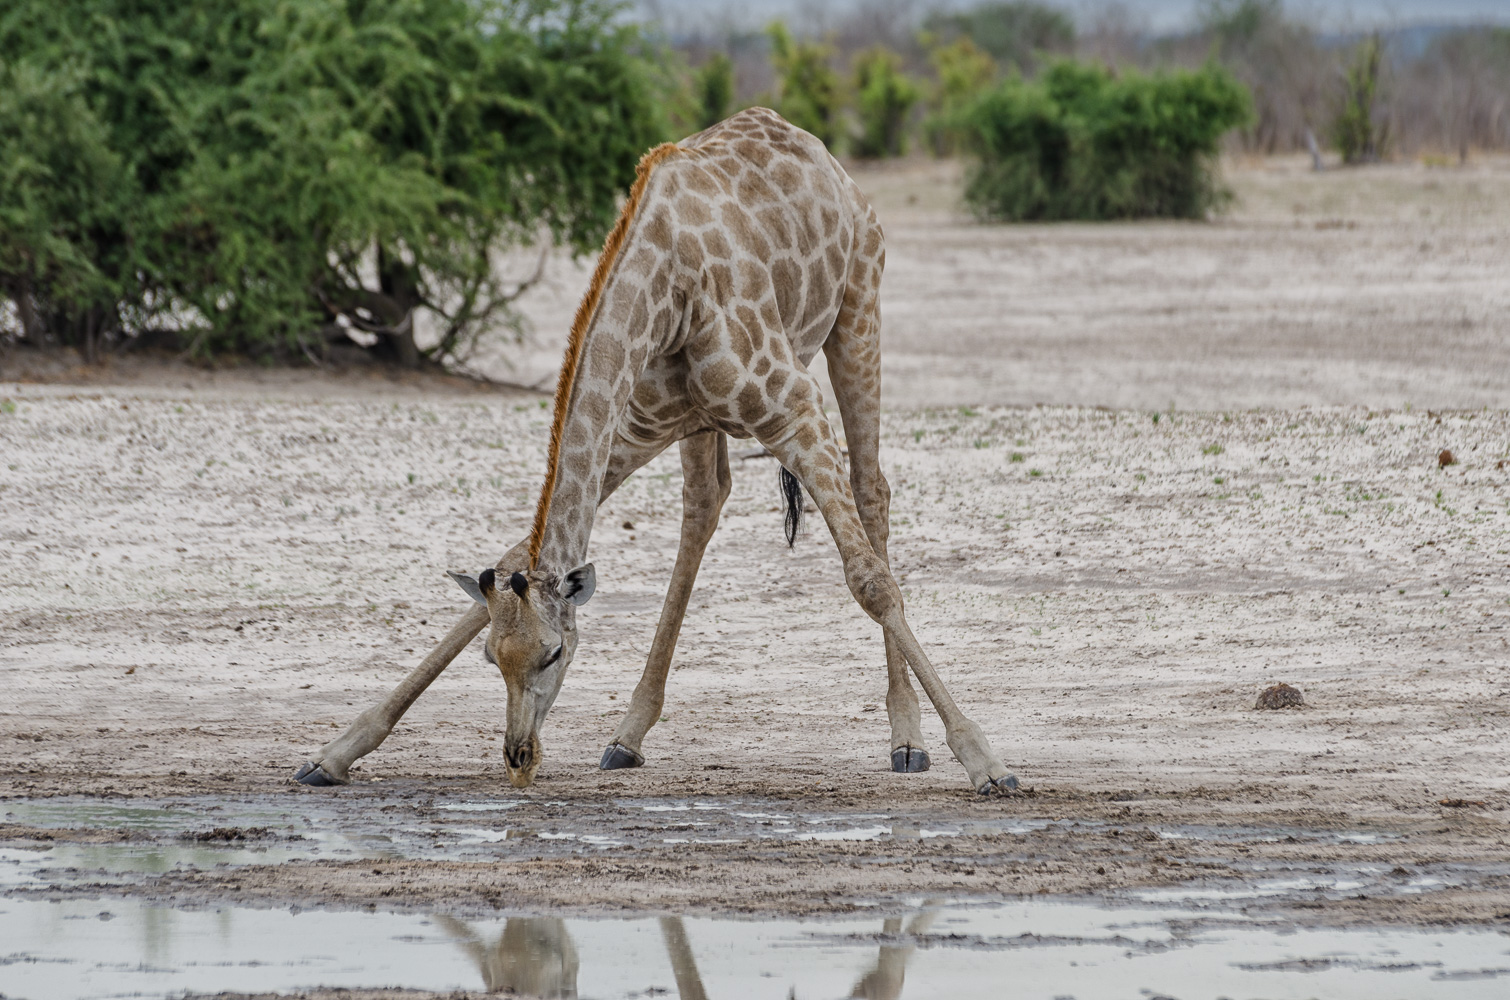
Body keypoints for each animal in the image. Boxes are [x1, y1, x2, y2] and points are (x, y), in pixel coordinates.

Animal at [294, 107, 1017, 795]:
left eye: (554, 653)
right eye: (494, 660)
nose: (520, 760)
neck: (666, 295)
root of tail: (826, 158)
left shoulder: (795, 408)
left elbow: (868, 580)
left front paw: (985, 761)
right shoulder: (631, 427)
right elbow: (511, 557)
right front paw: (336, 752)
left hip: (858, 311)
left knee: (871, 490)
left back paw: (907, 739)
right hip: (699, 423)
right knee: (705, 504)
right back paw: (629, 732)